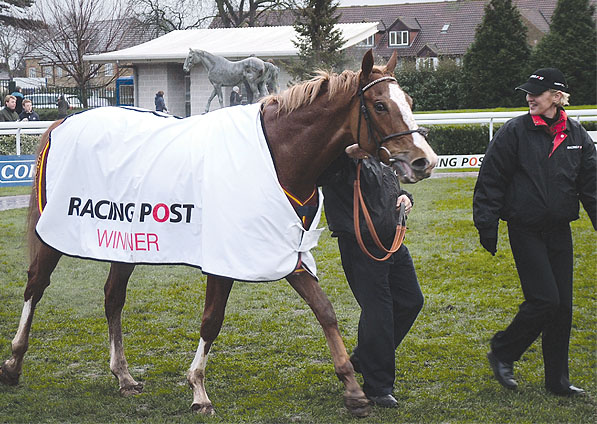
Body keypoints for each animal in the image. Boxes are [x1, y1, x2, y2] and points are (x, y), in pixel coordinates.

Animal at [1, 50, 438, 418]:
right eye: (379, 105)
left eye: (409, 101)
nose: (425, 160)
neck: (279, 155)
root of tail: (63, 122)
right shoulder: (224, 259)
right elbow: (212, 320)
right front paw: (198, 391)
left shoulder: (288, 251)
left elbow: (325, 311)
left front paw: (353, 389)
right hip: (53, 236)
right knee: (35, 286)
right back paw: (14, 363)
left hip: (127, 242)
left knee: (112, 298)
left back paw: (123, 376)